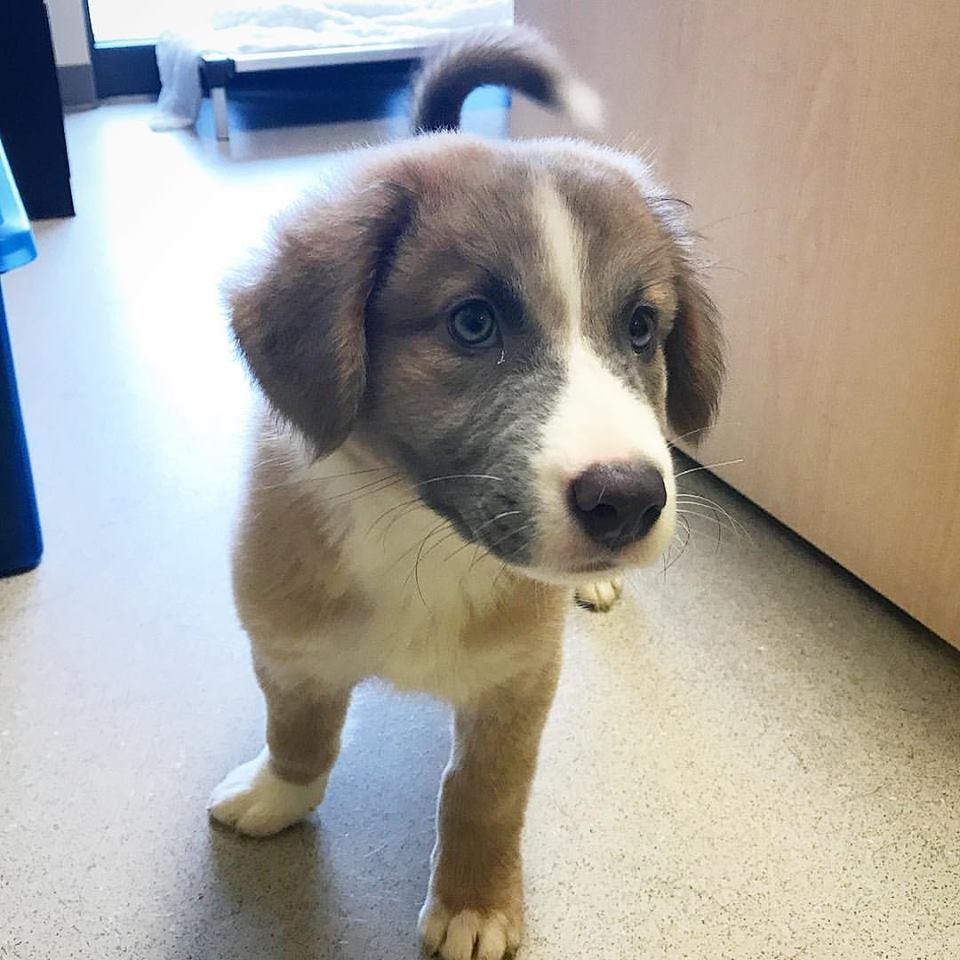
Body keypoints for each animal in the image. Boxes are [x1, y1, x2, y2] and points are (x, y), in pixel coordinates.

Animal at [208, 26, 720, 956]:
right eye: (473, 324)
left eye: (641, 327)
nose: (629, 502)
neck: (420, 532)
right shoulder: (287, 644)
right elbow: (299, 733)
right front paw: (279, 795)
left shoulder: (518, 682)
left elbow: (483, 798)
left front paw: (476, 903)